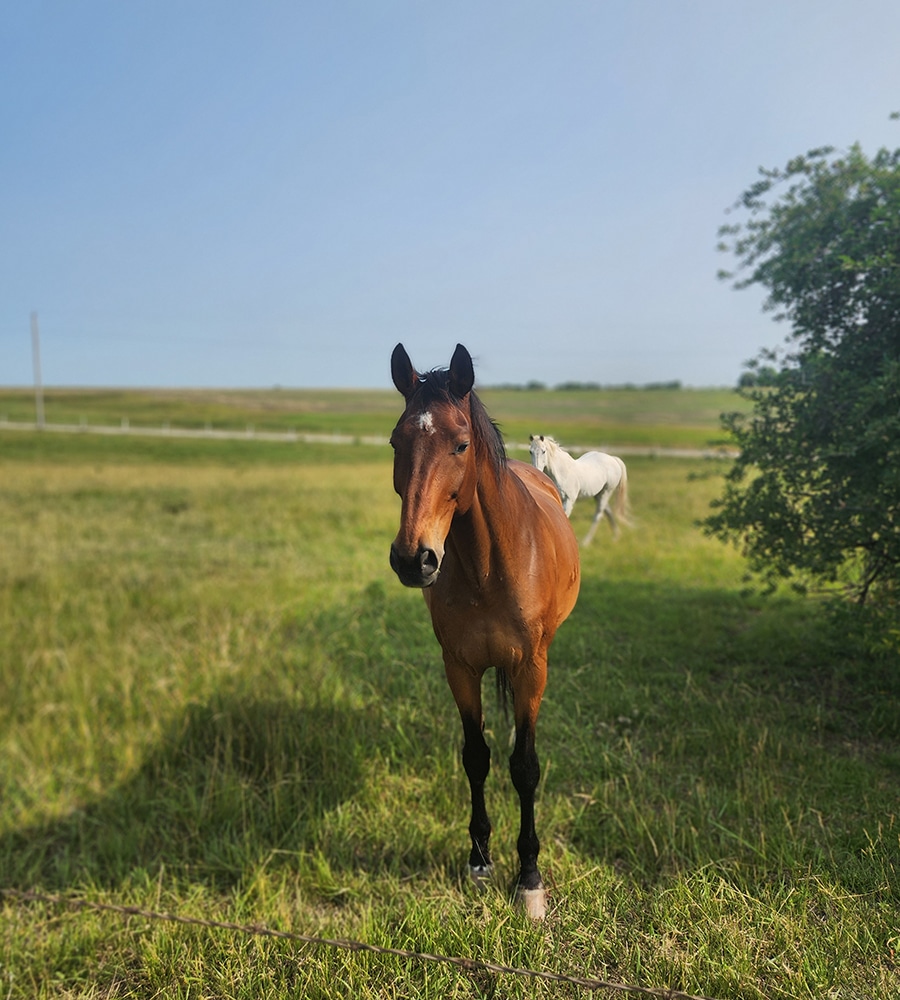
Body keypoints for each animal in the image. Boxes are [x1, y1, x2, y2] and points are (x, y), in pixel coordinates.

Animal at [389, 343, 580, 920]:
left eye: (461, 443)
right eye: (395, 442)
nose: (414, 558)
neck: (487, 566)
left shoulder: (530, 666)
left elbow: (525, 767)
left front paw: (530, 878)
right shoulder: (459, 666)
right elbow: (476, 757)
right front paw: (479, 861)